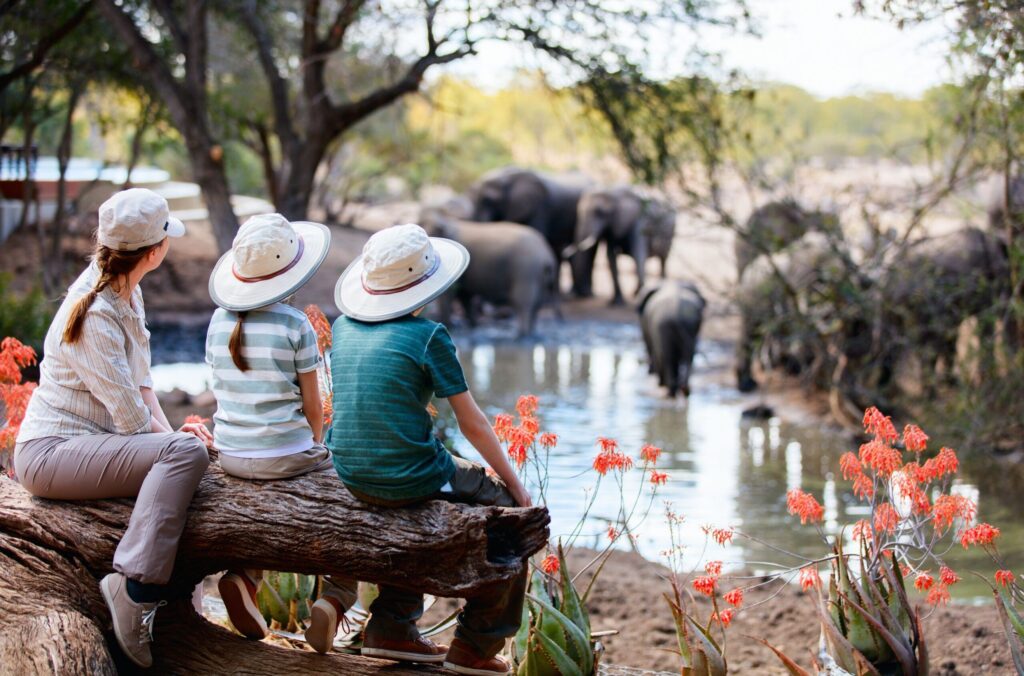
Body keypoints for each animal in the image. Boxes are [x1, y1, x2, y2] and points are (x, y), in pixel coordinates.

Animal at [415, 203, 561, 335]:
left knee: (523, 302)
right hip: (538, 274)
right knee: (537, 303)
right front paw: (473, 326)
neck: (448, 218)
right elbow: (465, 295)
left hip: (526, 269)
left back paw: (521, 335)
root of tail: (546, 255)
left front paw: (451, 326)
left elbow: (452, 294)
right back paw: (530, 333)